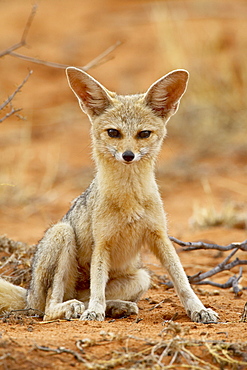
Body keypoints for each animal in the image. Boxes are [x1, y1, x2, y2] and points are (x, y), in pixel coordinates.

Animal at [0, 68, 218, 322]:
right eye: (113, 132)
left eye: (144, 134)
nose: (128, 155)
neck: (130, 198)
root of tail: (27, 296)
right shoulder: (102, 243)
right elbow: (97, 286)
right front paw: (95, 312)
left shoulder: (159, 236)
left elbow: (182, 280)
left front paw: (199, 309)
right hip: (62, 234)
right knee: (48, 310)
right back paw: (76, 308)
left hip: (141, 278)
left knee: (84, 299)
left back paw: (117, 307)